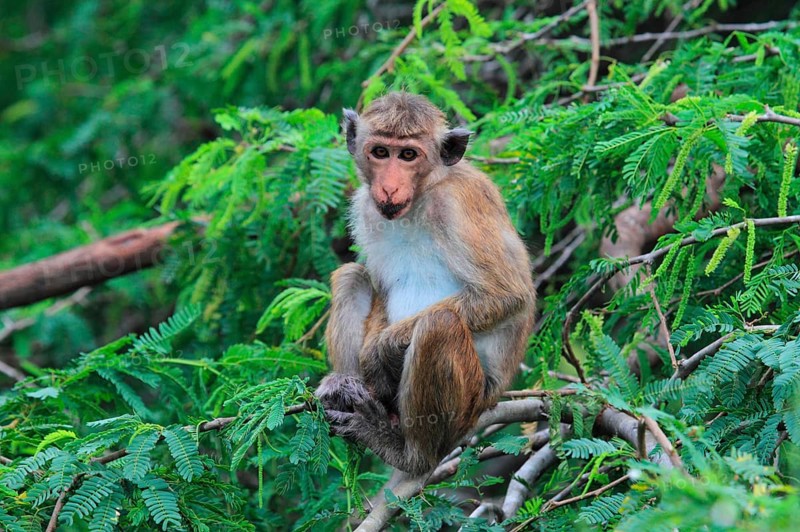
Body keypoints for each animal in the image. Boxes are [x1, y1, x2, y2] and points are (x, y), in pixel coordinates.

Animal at [315, 92, 535, 476]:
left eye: (408, 155)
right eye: (380, 152)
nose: (389, 186)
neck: (422, 196)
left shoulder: (460, 205)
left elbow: (506, 295)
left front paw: (380, 353)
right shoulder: (365, 208)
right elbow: (379, 287)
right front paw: (366, 367)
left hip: (471, 401)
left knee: (439, 325)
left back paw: (411, 454)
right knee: (351, 277)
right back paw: (348, 389)